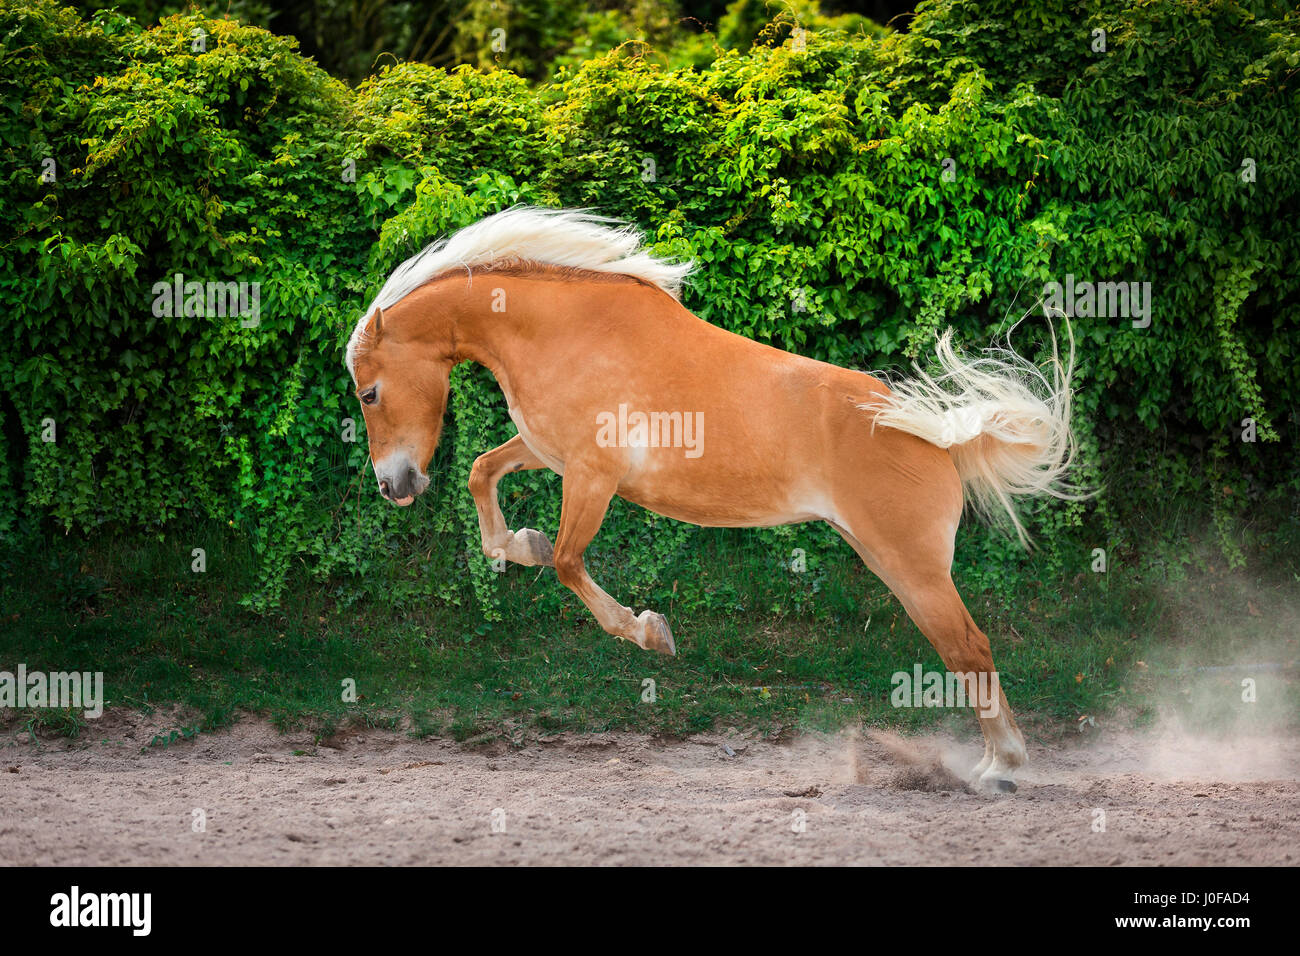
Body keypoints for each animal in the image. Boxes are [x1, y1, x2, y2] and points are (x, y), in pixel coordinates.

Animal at [345, 205, 1076, 790]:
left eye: (369, 393)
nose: (394, 486)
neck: (561, 332)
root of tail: (938, 438)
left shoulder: (592, 475)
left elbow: (569, 563)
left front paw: (651, 632)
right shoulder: (547, 451)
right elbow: (482, 475)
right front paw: (517, 545)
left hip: (914, 570)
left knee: (970, 649)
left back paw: (1001, 767)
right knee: (964, 653)